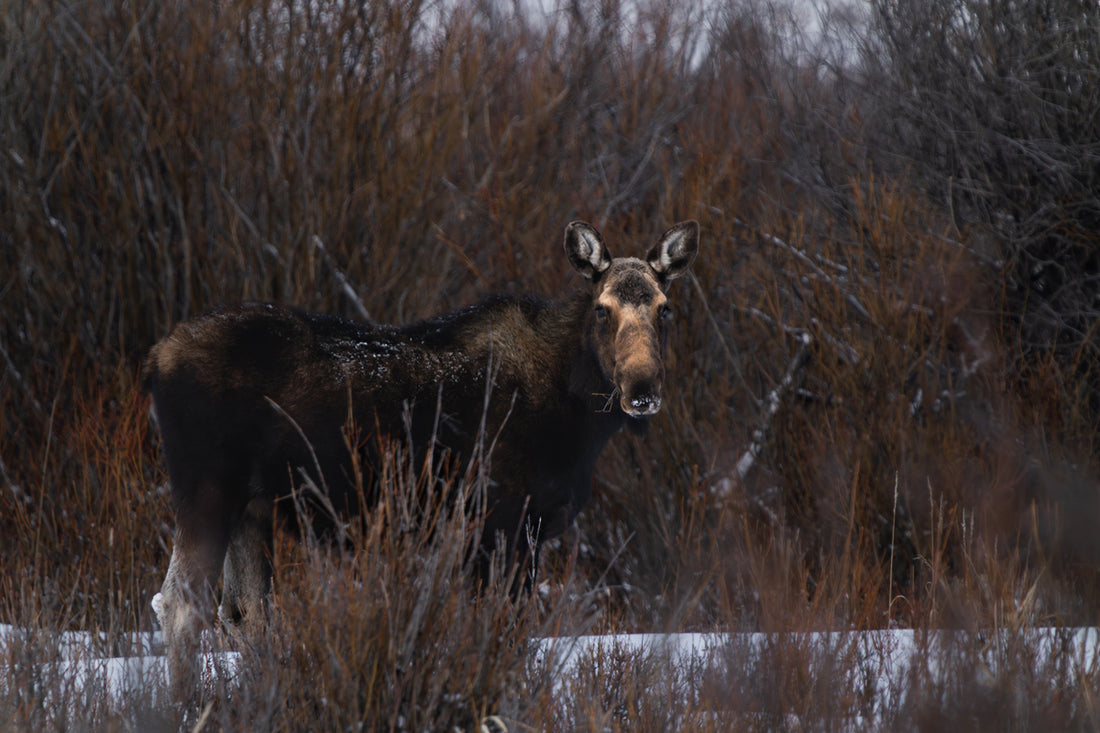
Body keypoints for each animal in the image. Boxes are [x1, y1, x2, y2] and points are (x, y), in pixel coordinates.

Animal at [144, 217, 695, 673]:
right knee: (180, 605)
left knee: (243, 614)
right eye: (602, 310)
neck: (575, 406)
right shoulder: (505, 526)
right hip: (208, 489)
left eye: (665, 310)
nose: (642, 389)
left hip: (253, 507)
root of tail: (156, 358)